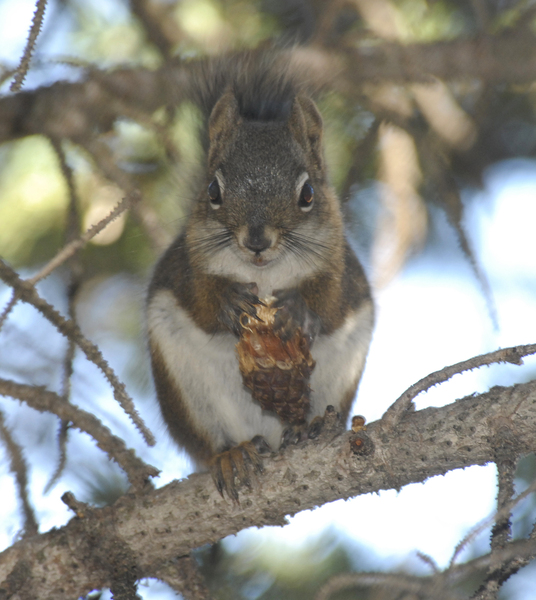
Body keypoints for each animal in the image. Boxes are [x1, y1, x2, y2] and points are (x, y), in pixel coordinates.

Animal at [144, 54, 374, 500]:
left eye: (307, 194)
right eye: (213, 190)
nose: (256, 240)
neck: (264, 274)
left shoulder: (339, 270)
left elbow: (330, 305)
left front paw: (298, 309)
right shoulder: (187, 269)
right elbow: (201, 302)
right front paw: (229, 302)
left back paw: (308, 427)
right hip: (189, 390)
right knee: (211, 440)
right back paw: (231, 454)